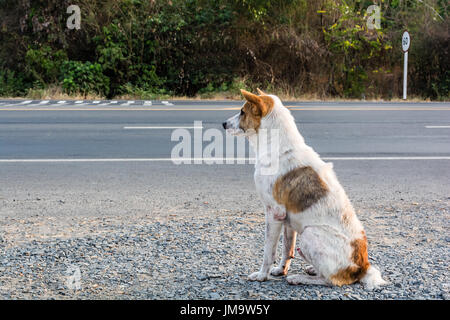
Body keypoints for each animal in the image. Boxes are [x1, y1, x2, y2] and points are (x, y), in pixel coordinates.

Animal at [223, 89, 388, 288]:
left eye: (242, 112)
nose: (223, 124)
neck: (280, 148)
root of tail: (363, 268)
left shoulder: (274, 213)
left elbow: (268, 251)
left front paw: (262, 275)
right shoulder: (287, 219)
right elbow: (287, 249)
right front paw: (280, 270)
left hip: (309, 234)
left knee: (331, 280)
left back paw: (300, 278)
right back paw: (310, 270)